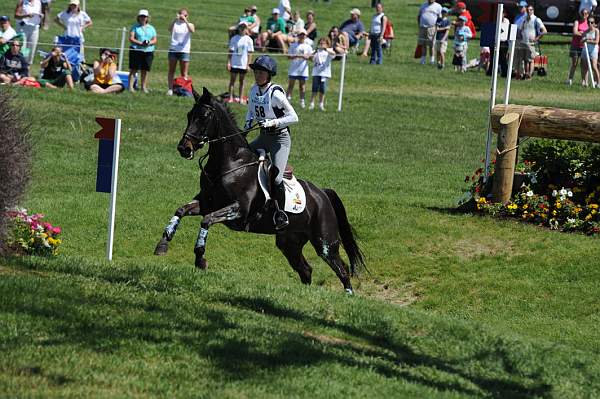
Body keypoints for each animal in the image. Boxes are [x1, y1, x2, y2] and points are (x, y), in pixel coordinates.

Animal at [155, 87, 366, 294]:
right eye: (189, 115)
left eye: (204, 116)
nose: (183, 148)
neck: (230, 162)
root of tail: (322, 194)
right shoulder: (207, 203)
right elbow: (181, 210)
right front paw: (163, 244)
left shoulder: (239, 210)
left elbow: (206, 220)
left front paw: (200, 258)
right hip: (289, 242)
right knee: (306, 269)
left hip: (325, 243)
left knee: (341, 269)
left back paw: (348, 297)